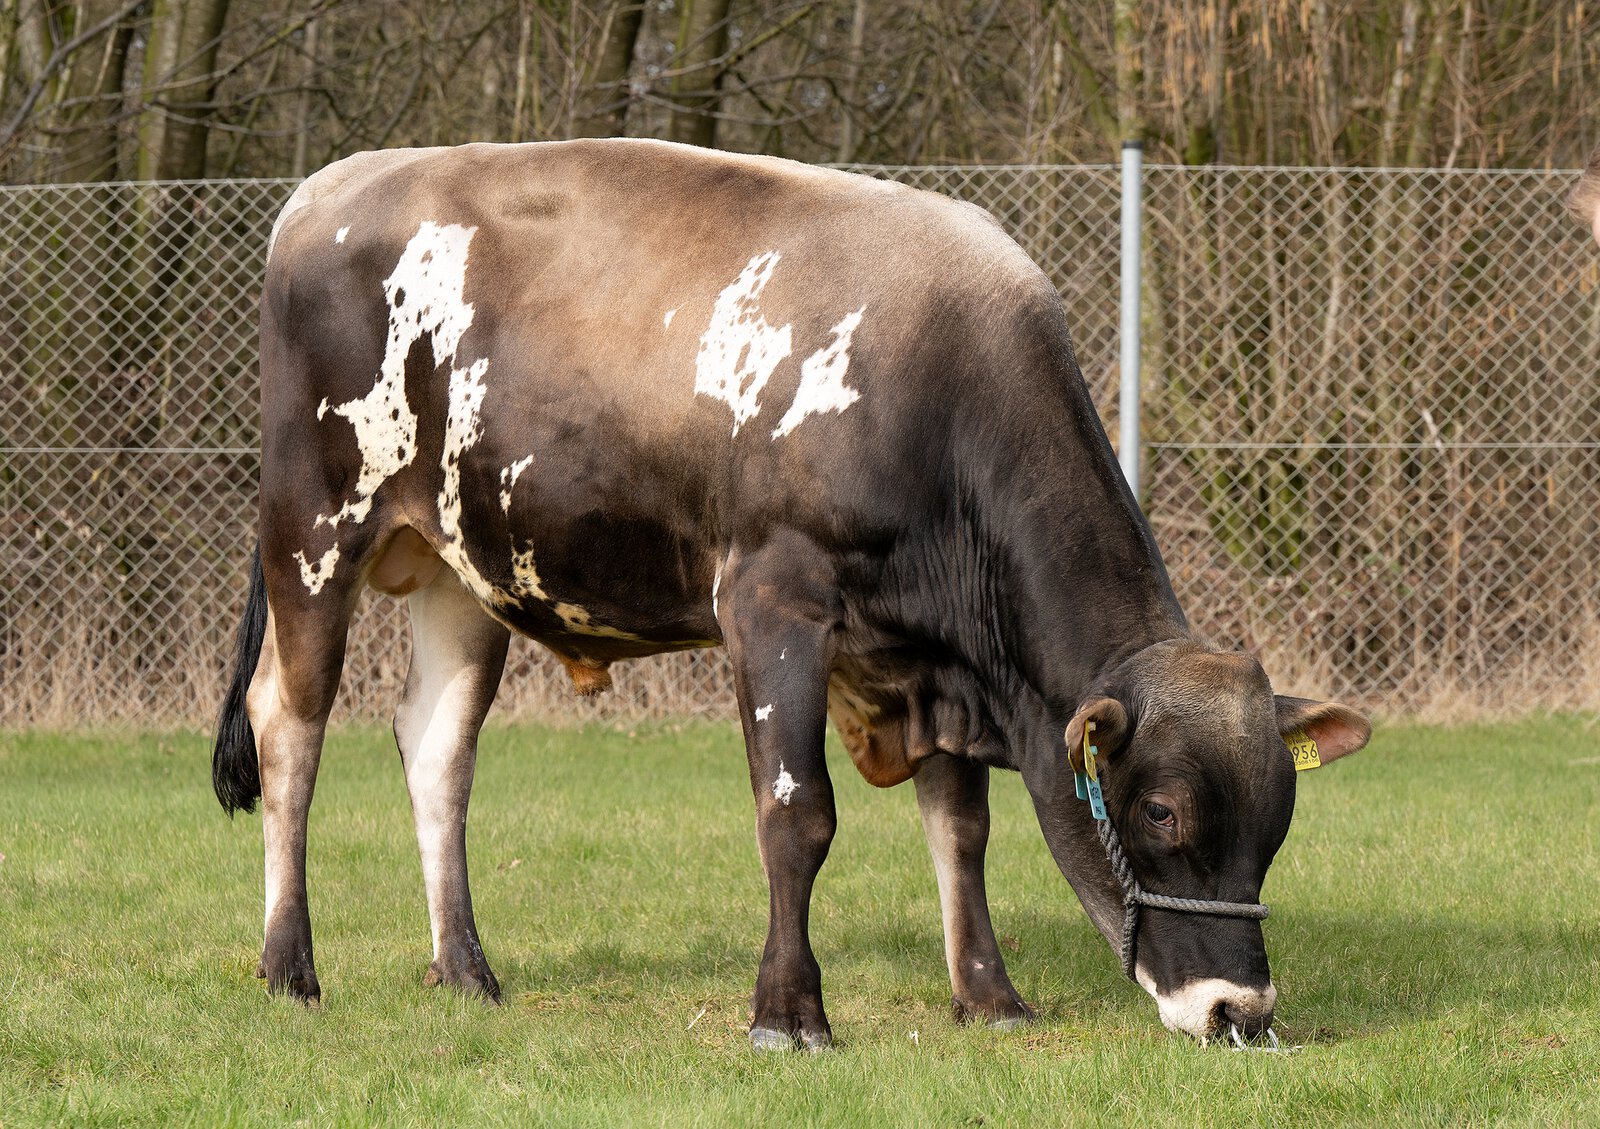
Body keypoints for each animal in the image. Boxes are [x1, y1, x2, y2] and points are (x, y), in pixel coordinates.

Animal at [211, 138, 1370, 1049]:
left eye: (1277, 820)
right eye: (1161, 809)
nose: (1241, 1010)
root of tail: (330, 184)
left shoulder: (929, 661)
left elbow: (962, 829)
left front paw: (988, 996)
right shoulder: (773, 601)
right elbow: (796, 813)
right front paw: (788, 1012)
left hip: (460, 569)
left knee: (437, 749)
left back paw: (465, 968)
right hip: (314, 530)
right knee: (290, 728)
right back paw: (290, 967)